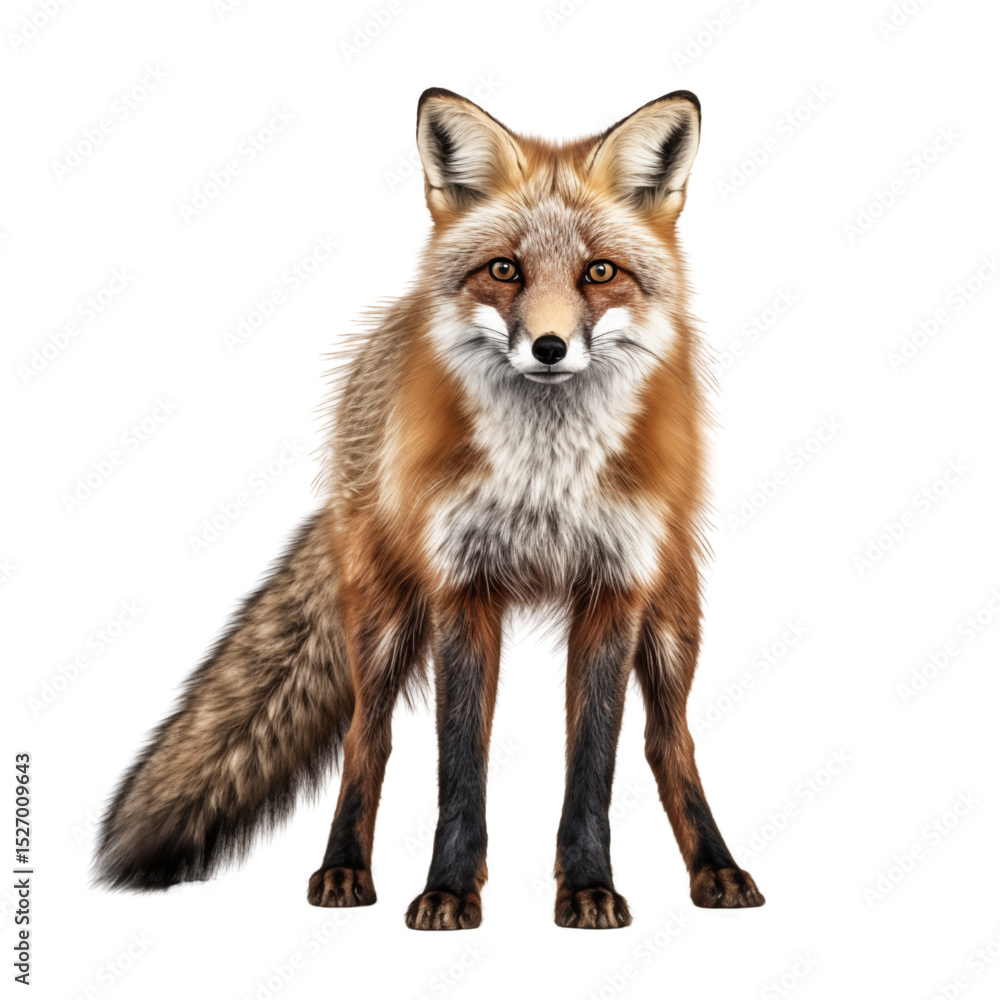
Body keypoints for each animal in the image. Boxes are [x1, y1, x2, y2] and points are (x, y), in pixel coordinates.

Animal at [94, 87, 765, 930]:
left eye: (599, 272)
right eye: (504, 269)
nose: (549, 348)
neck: (543, 477)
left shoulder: (612, 588)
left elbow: (593, 764)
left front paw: (586, 887)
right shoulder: (461, 586)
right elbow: (459, 760)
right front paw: (449, 888)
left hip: (673, 614)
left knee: (667, 742)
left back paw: (717, 868)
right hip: (381, 619)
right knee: (366, 739)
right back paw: (342, 870)